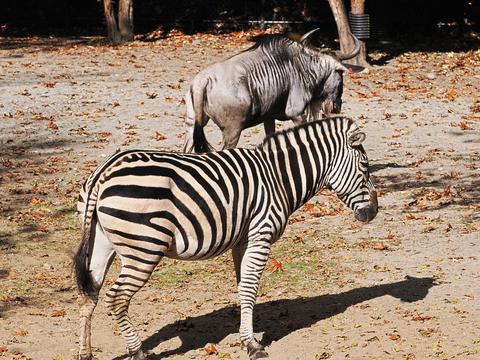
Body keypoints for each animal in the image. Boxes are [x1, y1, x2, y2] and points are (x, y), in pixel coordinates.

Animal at [73, 116, 376, 358]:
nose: (373, 213)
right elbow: (250, 288)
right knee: (117, 298)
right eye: (365, 167)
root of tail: (105, 171)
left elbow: (244, 289)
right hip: (143, 249)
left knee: (90, 295)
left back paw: (85, 353)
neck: (278, 177)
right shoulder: (260, 235)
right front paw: (253, 345)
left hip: (102, 243)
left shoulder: (242, 241)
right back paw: (137, 352)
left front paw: (246, 338)